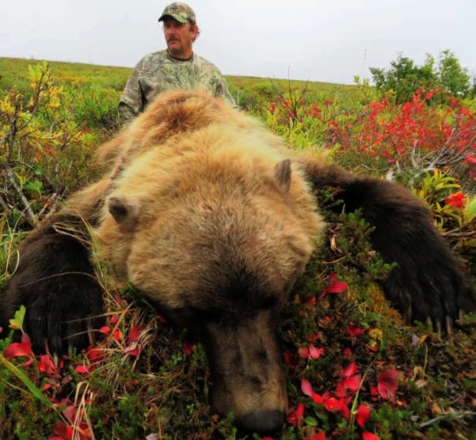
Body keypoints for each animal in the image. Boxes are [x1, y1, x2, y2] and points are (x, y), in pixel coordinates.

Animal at [0, 89, 476, 434]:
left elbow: (369, 189)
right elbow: (59, 226)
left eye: (278, 295)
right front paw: (55, 320)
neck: (191, 135)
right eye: (190, 312)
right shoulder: (108, 190)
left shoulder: (298, 175)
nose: (260, 420)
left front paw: (434, 289)